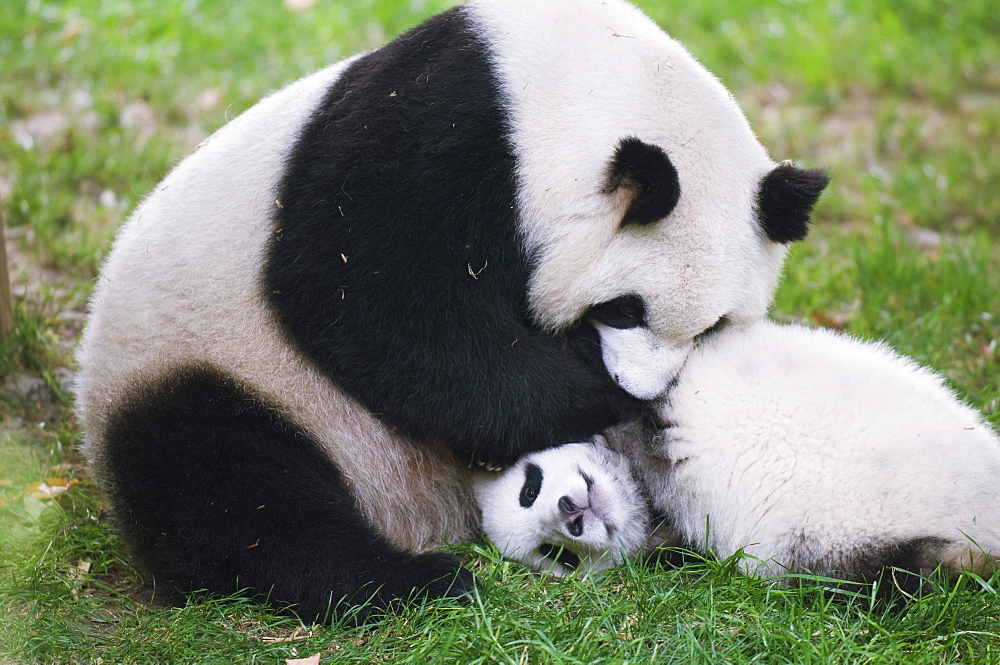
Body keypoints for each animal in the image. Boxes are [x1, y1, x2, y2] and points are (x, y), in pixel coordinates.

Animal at [76, 0, 828, 620]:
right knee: (230, 490)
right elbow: (371, 310)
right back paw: (412, 582)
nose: (644, 390)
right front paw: (591, 393)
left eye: (713, 326)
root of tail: (400, 512)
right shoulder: (435, 140)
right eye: (623, 310)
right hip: (210, 362)